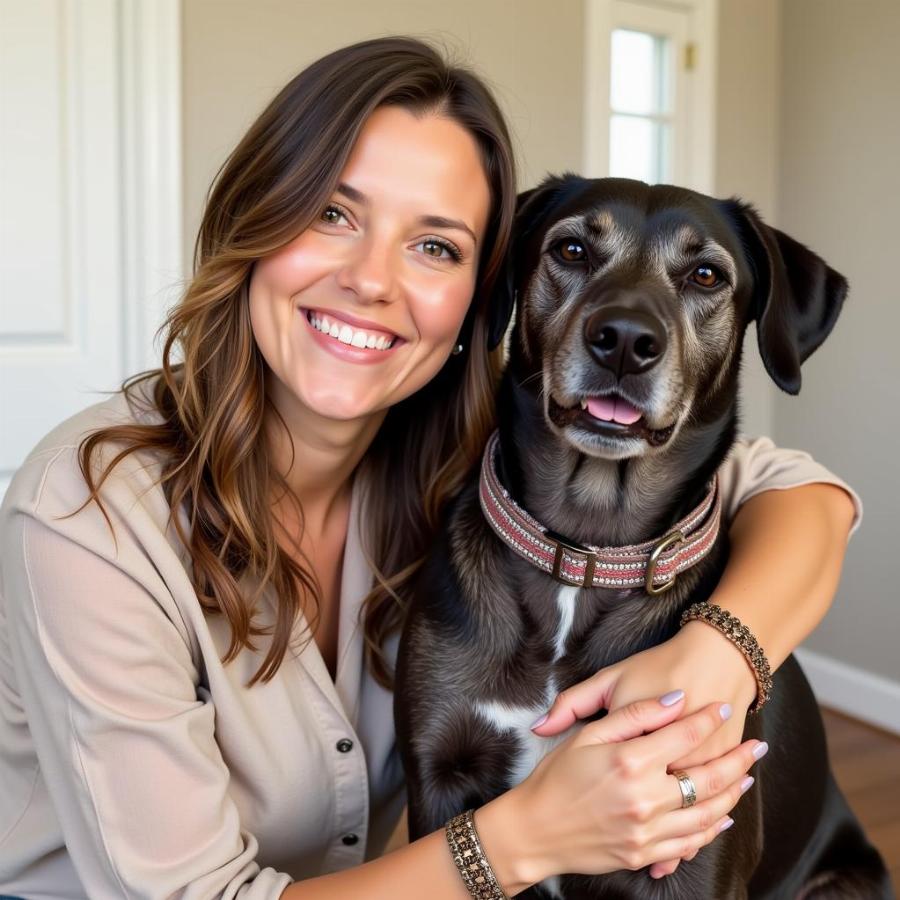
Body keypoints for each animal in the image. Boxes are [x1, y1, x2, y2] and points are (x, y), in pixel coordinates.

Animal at [396, 178, 892, 900]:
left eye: (706, 274)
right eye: (571, 249)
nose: (625, 341)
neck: (586, 553)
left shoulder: (693, 851)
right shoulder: (437, 779)